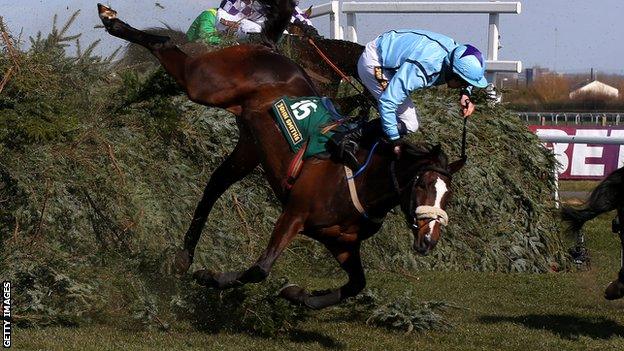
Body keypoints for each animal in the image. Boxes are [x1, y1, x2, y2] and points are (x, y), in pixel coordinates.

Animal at [97, 1, 464, 310]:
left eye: (448, 196)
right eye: (422, 185)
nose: (429, 239)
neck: (360, 178)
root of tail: (268, 47)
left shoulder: (341, 243)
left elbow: (356, 285)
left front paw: (298, 296)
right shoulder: (294, 215)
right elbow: (259, 269)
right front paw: (212, 276)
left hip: (248, 146)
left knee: (213, 187)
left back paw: (184, 256)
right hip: (204, 84)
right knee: (164, 45)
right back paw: (112, 21)